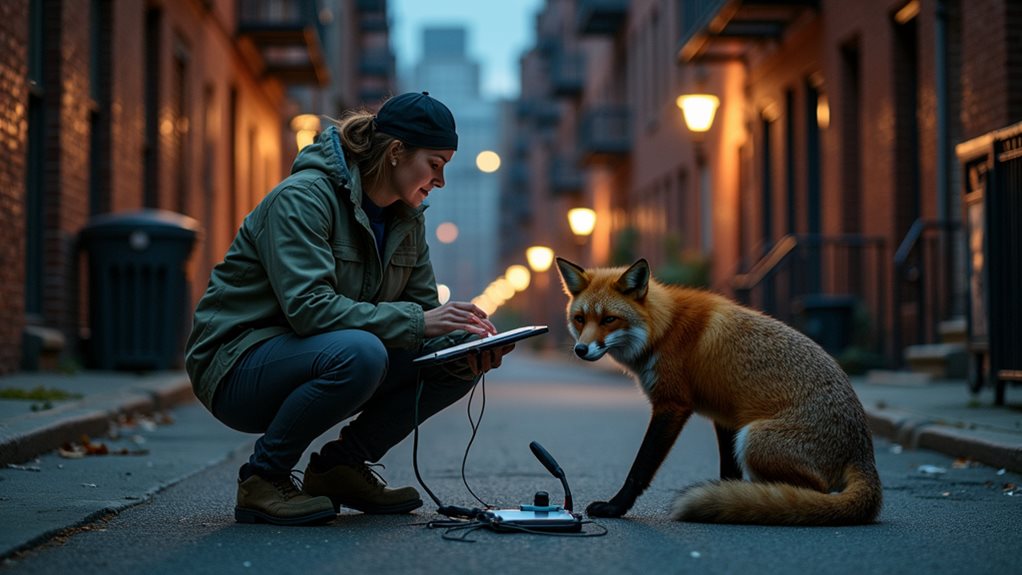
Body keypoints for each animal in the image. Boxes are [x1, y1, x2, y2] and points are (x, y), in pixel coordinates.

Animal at [555, 256, 882, 525]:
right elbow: (728, 471)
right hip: (746, 435)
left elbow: (641, 466)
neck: (663, 329)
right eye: (580, 319)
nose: (580, 350)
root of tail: (864, 451)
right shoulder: (725, 419)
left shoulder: (672, 405)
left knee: (815, 493)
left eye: (609, 319)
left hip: (754, 439)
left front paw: (615, 508)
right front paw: (727, 497)